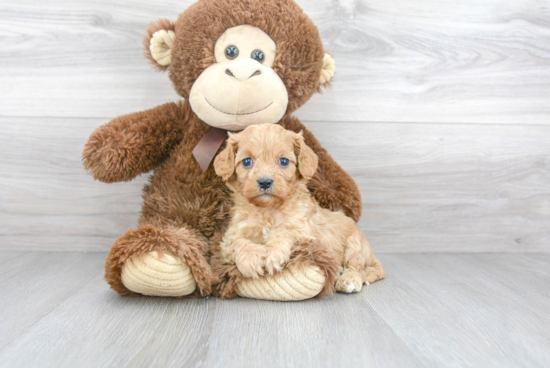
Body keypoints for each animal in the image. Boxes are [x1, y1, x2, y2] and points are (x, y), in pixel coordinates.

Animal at [213, 124, 386, 294]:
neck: (267, 210)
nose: (265, 182)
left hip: (355, 244)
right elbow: (237, 242)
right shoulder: (229, 239)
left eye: (283, 161)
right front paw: (251, 259)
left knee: (358, 267)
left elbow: (284, 231)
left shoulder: (305, 233)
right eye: (247, 161)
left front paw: (273, 253)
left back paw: (348, 280)